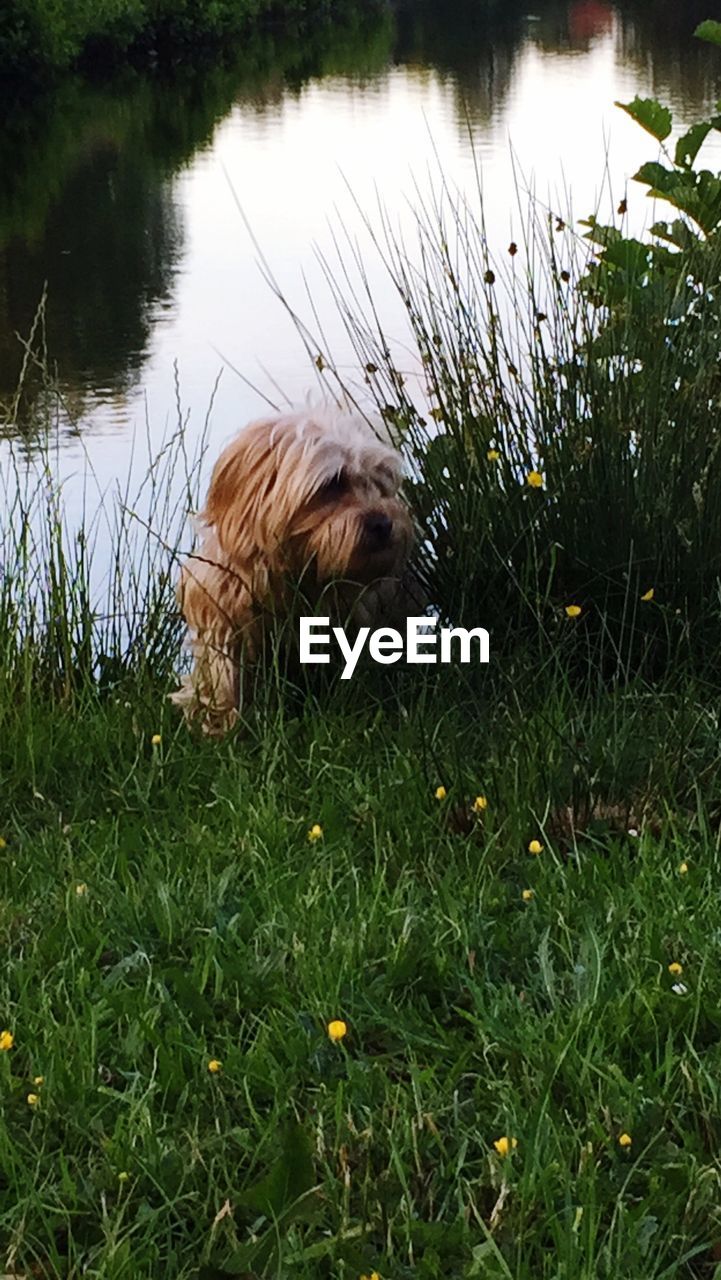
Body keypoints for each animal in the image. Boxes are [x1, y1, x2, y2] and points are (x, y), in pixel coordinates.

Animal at [171, 404, 414, 737]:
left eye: (380, 481)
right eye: (333, 483)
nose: (383, 524)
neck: (301, 568)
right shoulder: (223, 616)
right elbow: (225, 677)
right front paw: (224, 725)